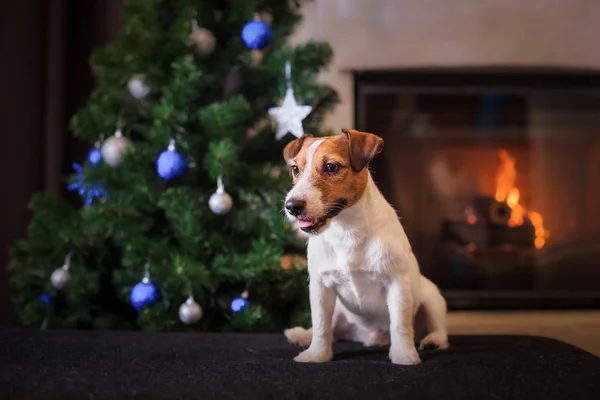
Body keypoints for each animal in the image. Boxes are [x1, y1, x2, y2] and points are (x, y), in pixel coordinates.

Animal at [284, 129, 448, 366]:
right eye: (295, 169)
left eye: (331, 167)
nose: (292, 206)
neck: (346, 231)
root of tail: (372, 337)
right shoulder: (321, 287)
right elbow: (321, 325)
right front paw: (317, 354)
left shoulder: (397, 284)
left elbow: (400, 323)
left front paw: (404, 355)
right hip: (339, 310)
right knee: (329, 329)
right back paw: (300, 335)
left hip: (432, 297)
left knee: (439, 328)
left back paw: (433, 340)